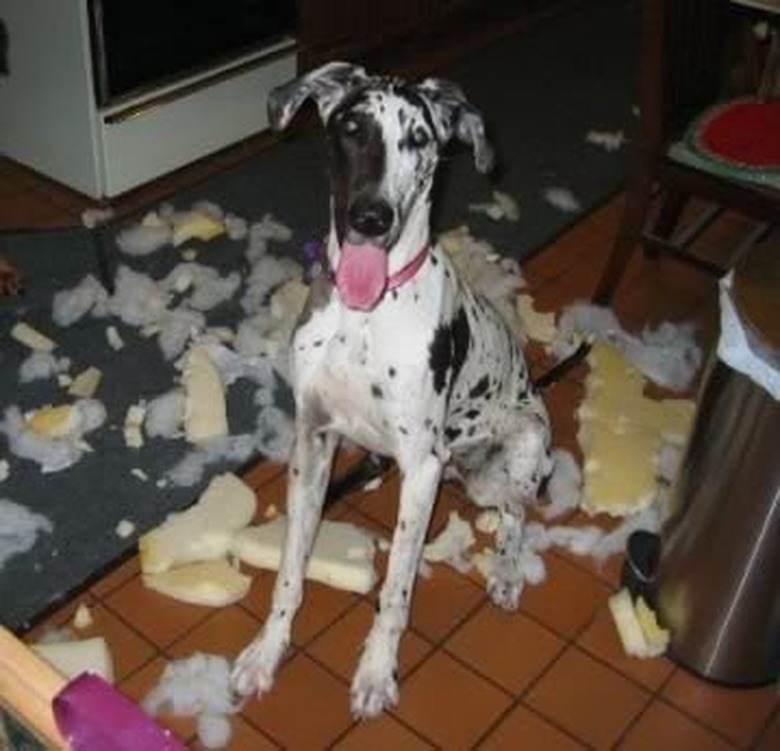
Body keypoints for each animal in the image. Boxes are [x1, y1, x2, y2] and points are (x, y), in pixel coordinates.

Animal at [229, 61, 552, 720]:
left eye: (419, 140)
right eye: (352, 128)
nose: (369, 218)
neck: (364, 317)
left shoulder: (424, 468)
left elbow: (397, 589)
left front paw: (377, 671)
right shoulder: (312, 442)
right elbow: (290, 570)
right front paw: (267, 651)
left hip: (518, 451)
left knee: (515, 512)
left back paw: (507, 571)